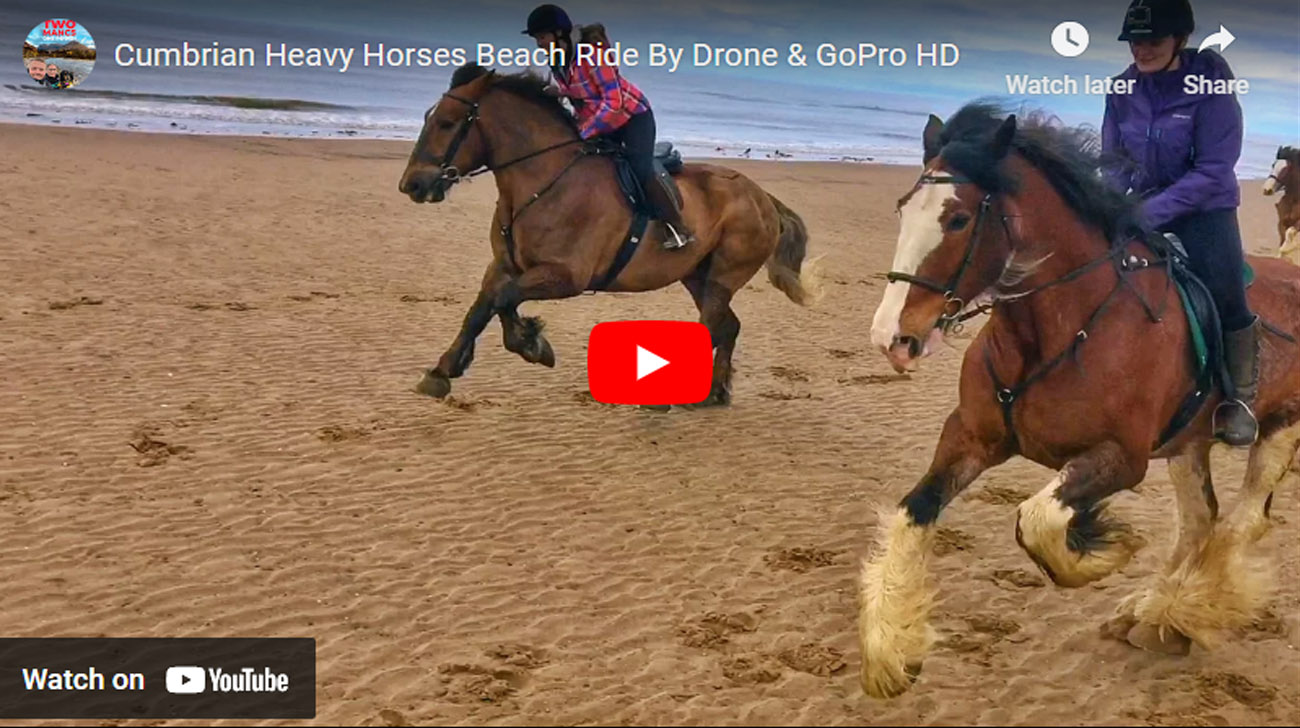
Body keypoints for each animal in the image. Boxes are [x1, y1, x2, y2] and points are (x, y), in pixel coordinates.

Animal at [400, 62, 816, 403]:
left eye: (447, 122)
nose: (412, 185)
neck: (541, 183)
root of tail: (763, 197)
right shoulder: (502, 264)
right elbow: (482, 308)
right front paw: (442, 371)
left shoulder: (566, 276)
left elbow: (504, 299)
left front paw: (531, 343)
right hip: (697, 276)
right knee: (728, 326)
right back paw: (714, 393)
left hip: (723, 276)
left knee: (713, 326)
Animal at [852, 104, 1300, 702]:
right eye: (904, 209)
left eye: (958, 220)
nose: (891, 338)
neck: (1058, 329)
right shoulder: (969, 437)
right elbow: (913, 513)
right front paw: (891, 652)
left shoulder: (1121, 458)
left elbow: (1038, 520)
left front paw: (1107, 550)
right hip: (1188, 442)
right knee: (1200, 521)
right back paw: (1152, 615)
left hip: (1278, 430)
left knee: (1240, 523)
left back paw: (1181, 614)